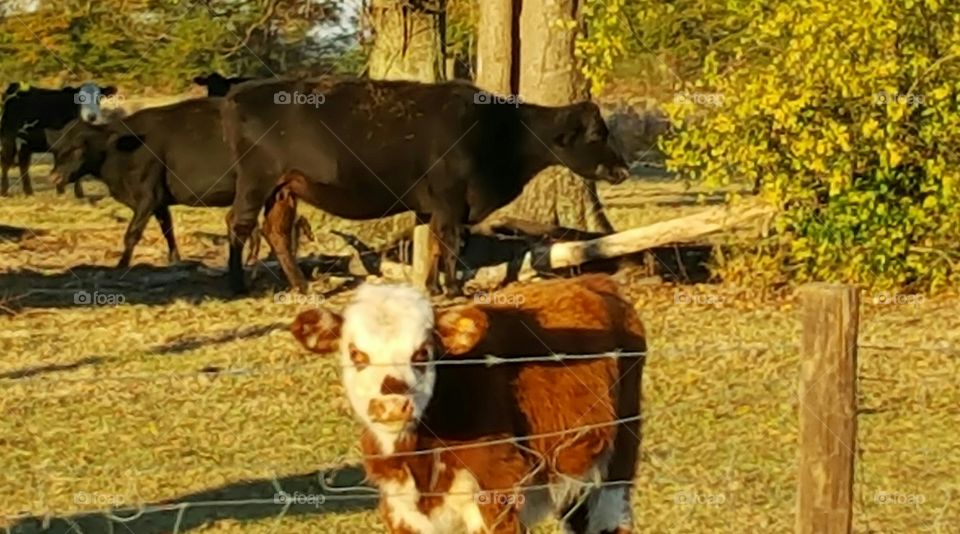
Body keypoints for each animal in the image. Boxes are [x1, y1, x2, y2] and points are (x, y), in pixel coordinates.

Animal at [221, 77, 632, 297]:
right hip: (256, 183)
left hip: (284, 190)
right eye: (596, 135)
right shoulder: (451, 204)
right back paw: (237, 284)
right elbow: (449, 244)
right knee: (238, 225)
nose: (623, 169)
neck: (498, 130)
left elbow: (433, 244)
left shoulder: (431, 208)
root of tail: (243, 93)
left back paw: (302, 285)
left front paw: (433, 288)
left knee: (275, 231)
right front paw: (453, 289)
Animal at [290, 274, 645, 533]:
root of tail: (593, 280)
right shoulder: (399, 505)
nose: (391, 406)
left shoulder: (497, 494)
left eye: (422, 353)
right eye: (356, 354)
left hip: (618, 463)